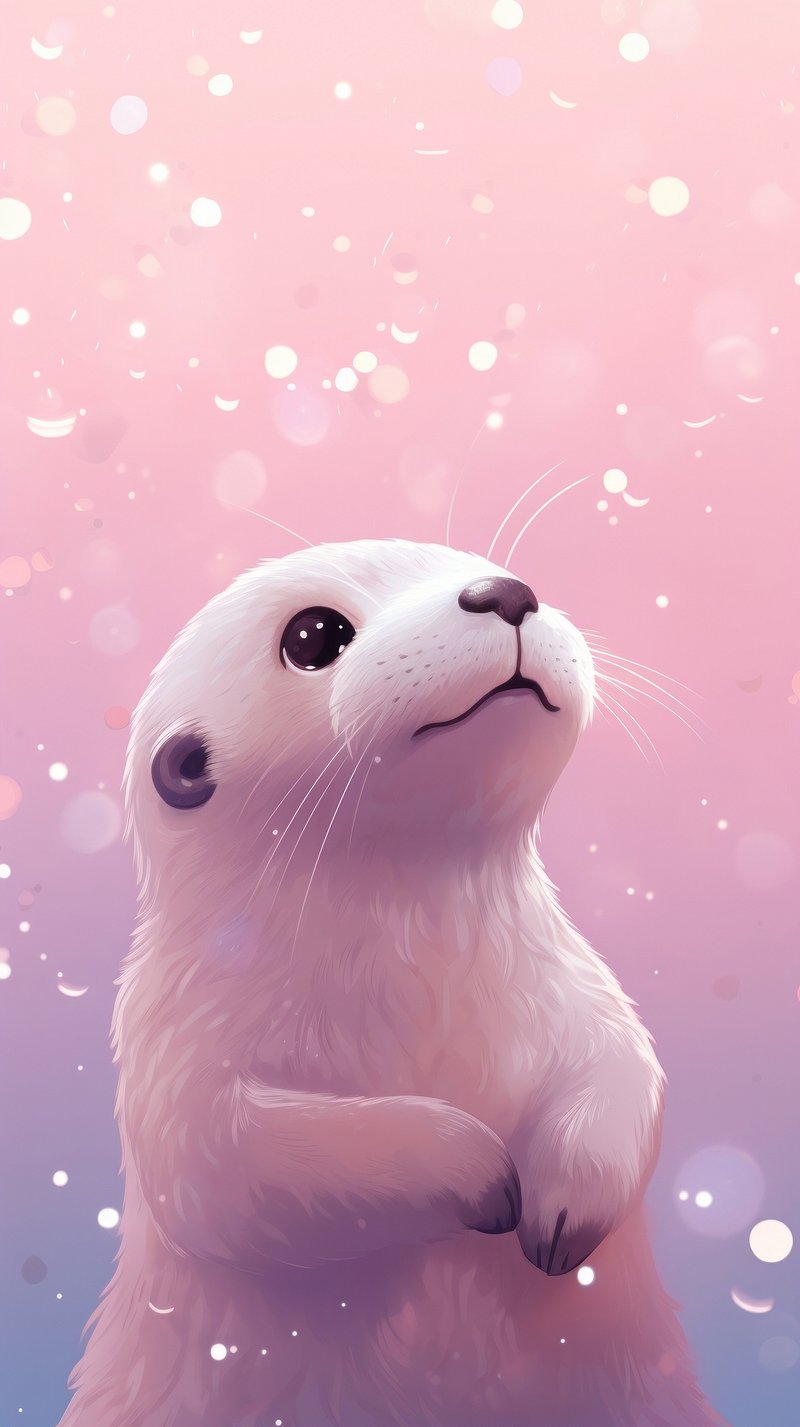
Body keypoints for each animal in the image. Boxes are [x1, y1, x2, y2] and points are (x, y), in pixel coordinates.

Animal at [59, 539, 727, 1427]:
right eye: (314, 634)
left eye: (475, 562)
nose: (506, 592)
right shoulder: (172, 1050)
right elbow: (234, 1166)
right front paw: (481, 1171)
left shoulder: (578, 988)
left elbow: (626, 1076)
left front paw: (562, 1206)